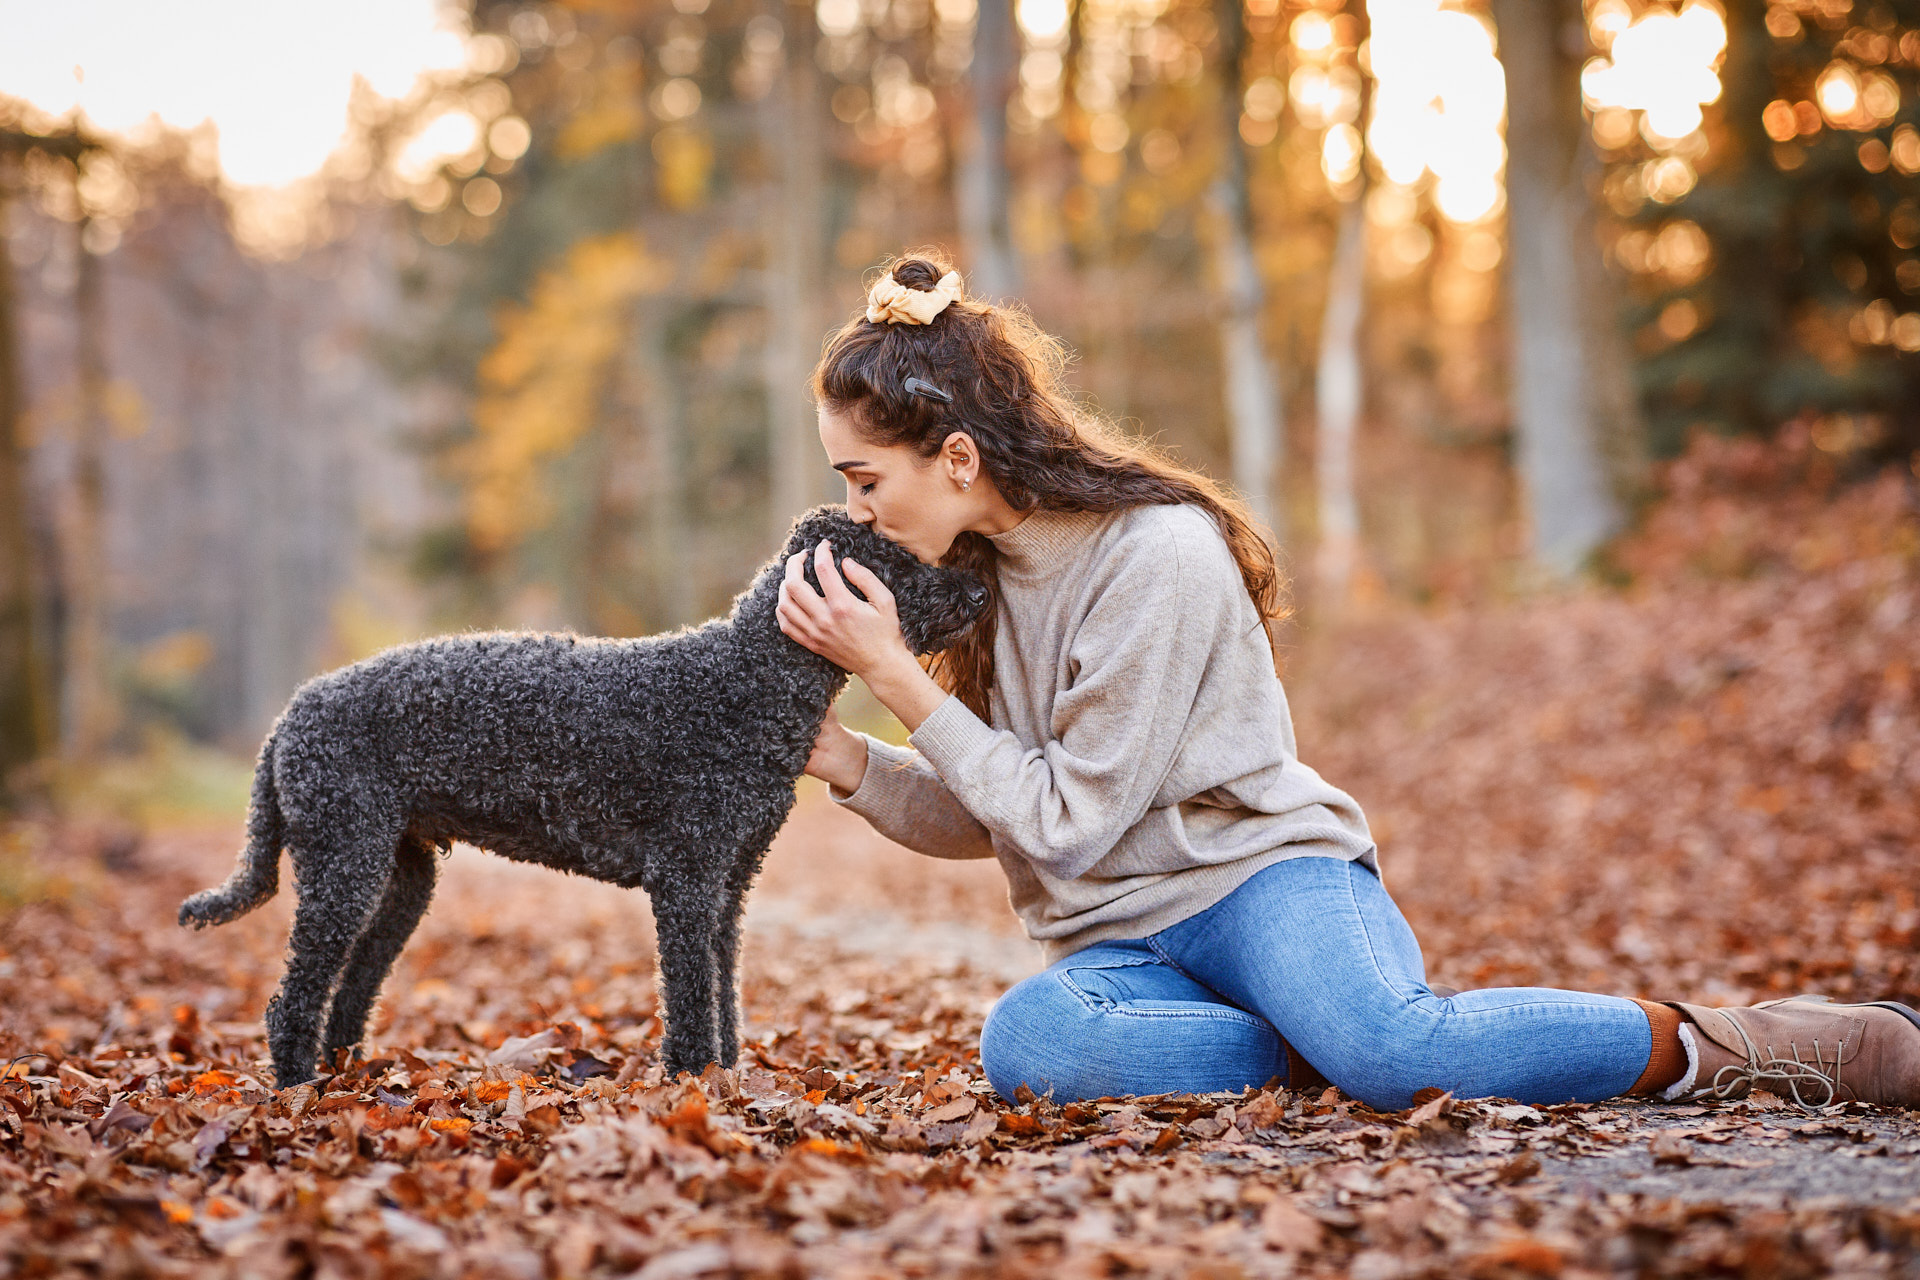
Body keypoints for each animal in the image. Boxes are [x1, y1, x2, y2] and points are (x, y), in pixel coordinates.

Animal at [176, 506, 990, 1090]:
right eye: (896, 564)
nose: (979, 588)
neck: (743, 681)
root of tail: (290, 714)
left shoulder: (729, 884)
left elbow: (723, 990)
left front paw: (727, 1077)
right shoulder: (686, 880)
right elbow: (690, 997)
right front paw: (692, 1081)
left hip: (399, 877)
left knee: (350, 989)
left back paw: (348, 1076)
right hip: (344, 863)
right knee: (294, 998)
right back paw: (296, 1090)